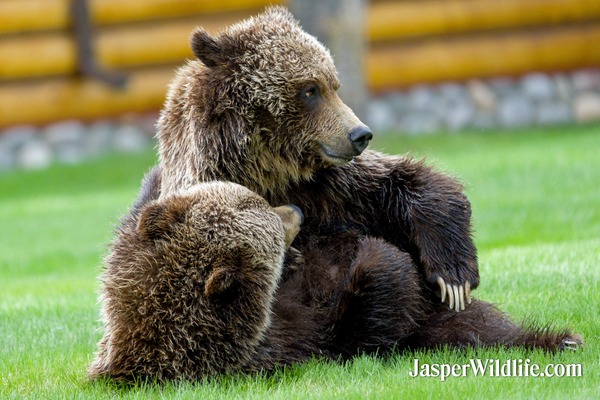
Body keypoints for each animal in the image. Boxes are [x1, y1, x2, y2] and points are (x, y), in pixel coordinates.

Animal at [157, 7, 476, 312]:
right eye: (310, 90)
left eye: (334, 85)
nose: (360, 134)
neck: (268, 169)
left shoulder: (329, 186)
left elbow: (402, 181)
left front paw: (453, 279)